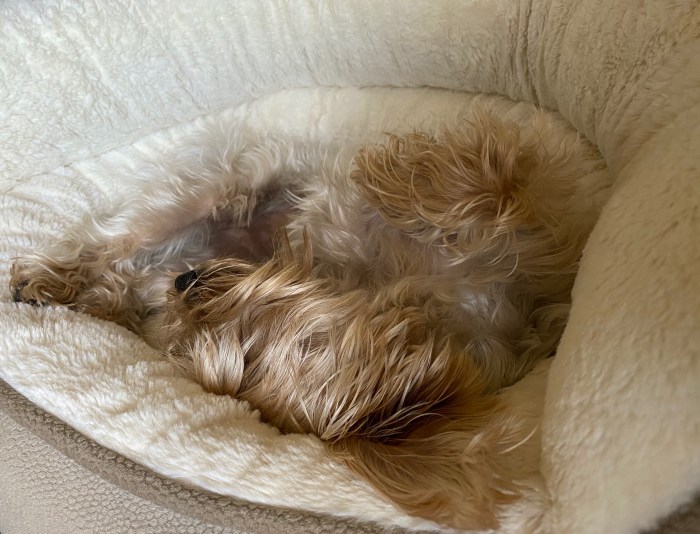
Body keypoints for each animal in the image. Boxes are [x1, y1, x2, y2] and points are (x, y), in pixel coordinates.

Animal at [10, 108, 601, 529]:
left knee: (125, 273)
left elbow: (494, 190)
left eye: (248, 343)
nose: (186, 285)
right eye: (189, 349)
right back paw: (50, 279)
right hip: (209, 190)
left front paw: (399, 178)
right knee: (114, 247)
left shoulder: (543, 239)